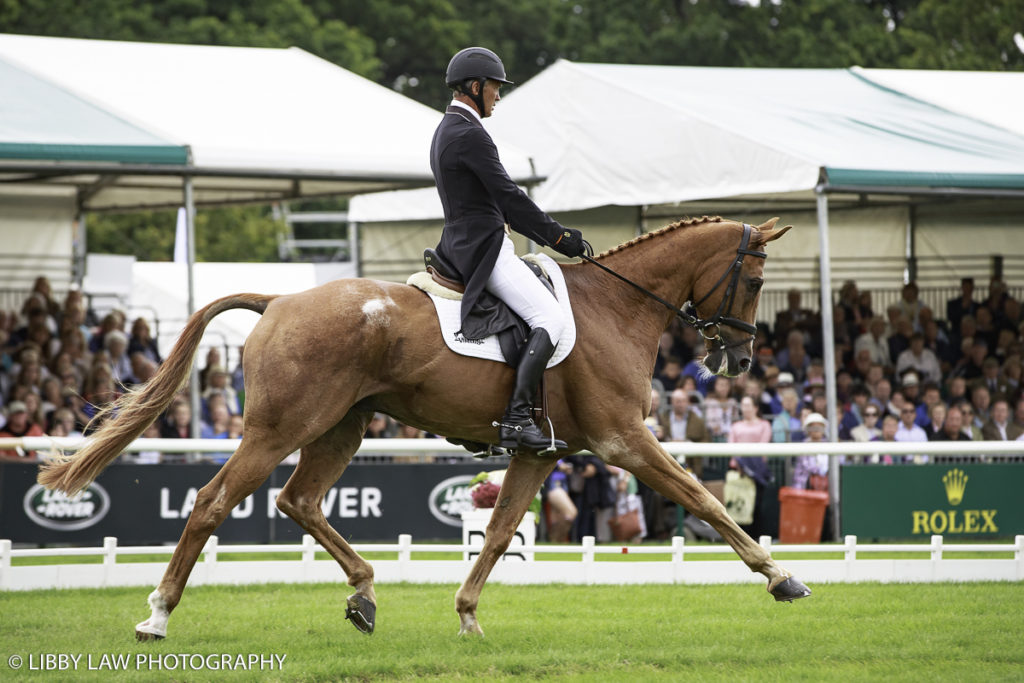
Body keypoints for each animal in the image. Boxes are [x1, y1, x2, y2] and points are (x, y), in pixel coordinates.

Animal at [37, 215, 806, 643]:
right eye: (755, 279)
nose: (739, 359)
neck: (616, 307)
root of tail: (279, 299)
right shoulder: (625, 440)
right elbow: (704, 499)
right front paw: (781, 578)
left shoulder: (543, 452)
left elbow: (498, 532)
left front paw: (466, 615)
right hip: (279, 428)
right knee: (213, 502)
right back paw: (157, 616)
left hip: (340, 426)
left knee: (299, 500)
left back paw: (364, 593)